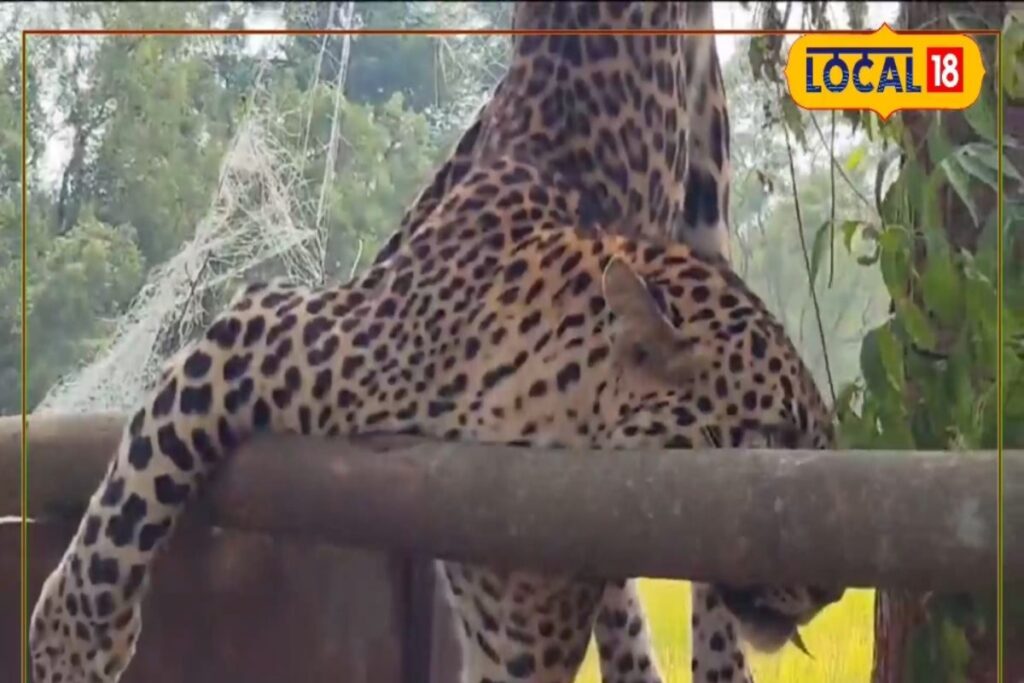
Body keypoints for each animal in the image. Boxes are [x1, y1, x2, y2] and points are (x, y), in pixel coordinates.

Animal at [29, 3, 846, 683]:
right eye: (771, 435)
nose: (835, 587)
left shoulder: (517, 638)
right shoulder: (262, 333)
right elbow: (138, 487)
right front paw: (70, 645)